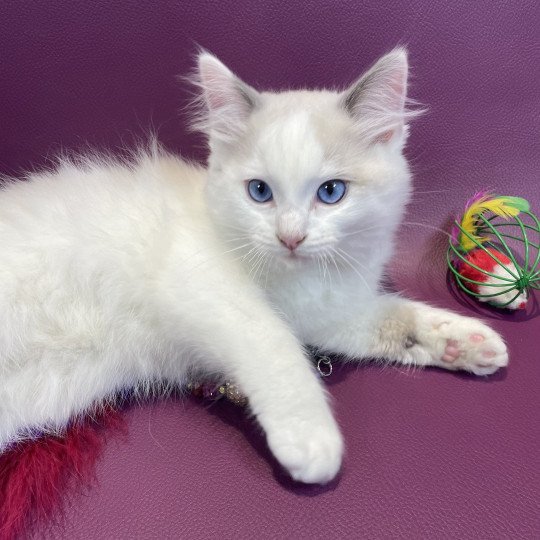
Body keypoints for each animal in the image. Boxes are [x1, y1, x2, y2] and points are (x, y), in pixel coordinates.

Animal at [0, 48, 506, 484]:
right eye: (259, 192)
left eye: (331, 192)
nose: (290, 237)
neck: (296, 281)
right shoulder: (206, 286)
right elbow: (274, 344)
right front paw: (311, 440)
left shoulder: (329, 311)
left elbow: (388, 317)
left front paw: (465, 342)